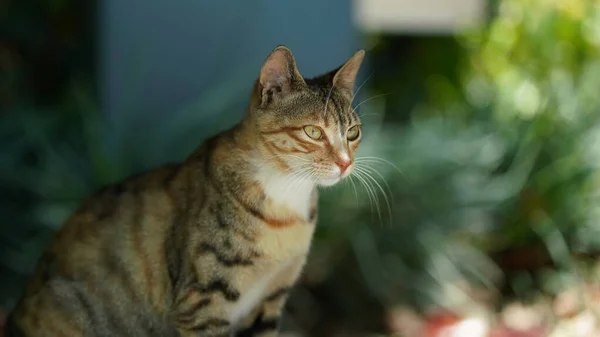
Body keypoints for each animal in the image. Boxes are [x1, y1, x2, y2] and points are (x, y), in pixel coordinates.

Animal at [5, 45, 366, 336]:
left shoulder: (268, 303)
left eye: (353, 132)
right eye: (313, 132)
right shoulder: (204, 304)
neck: (285, 201)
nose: (346, 163)